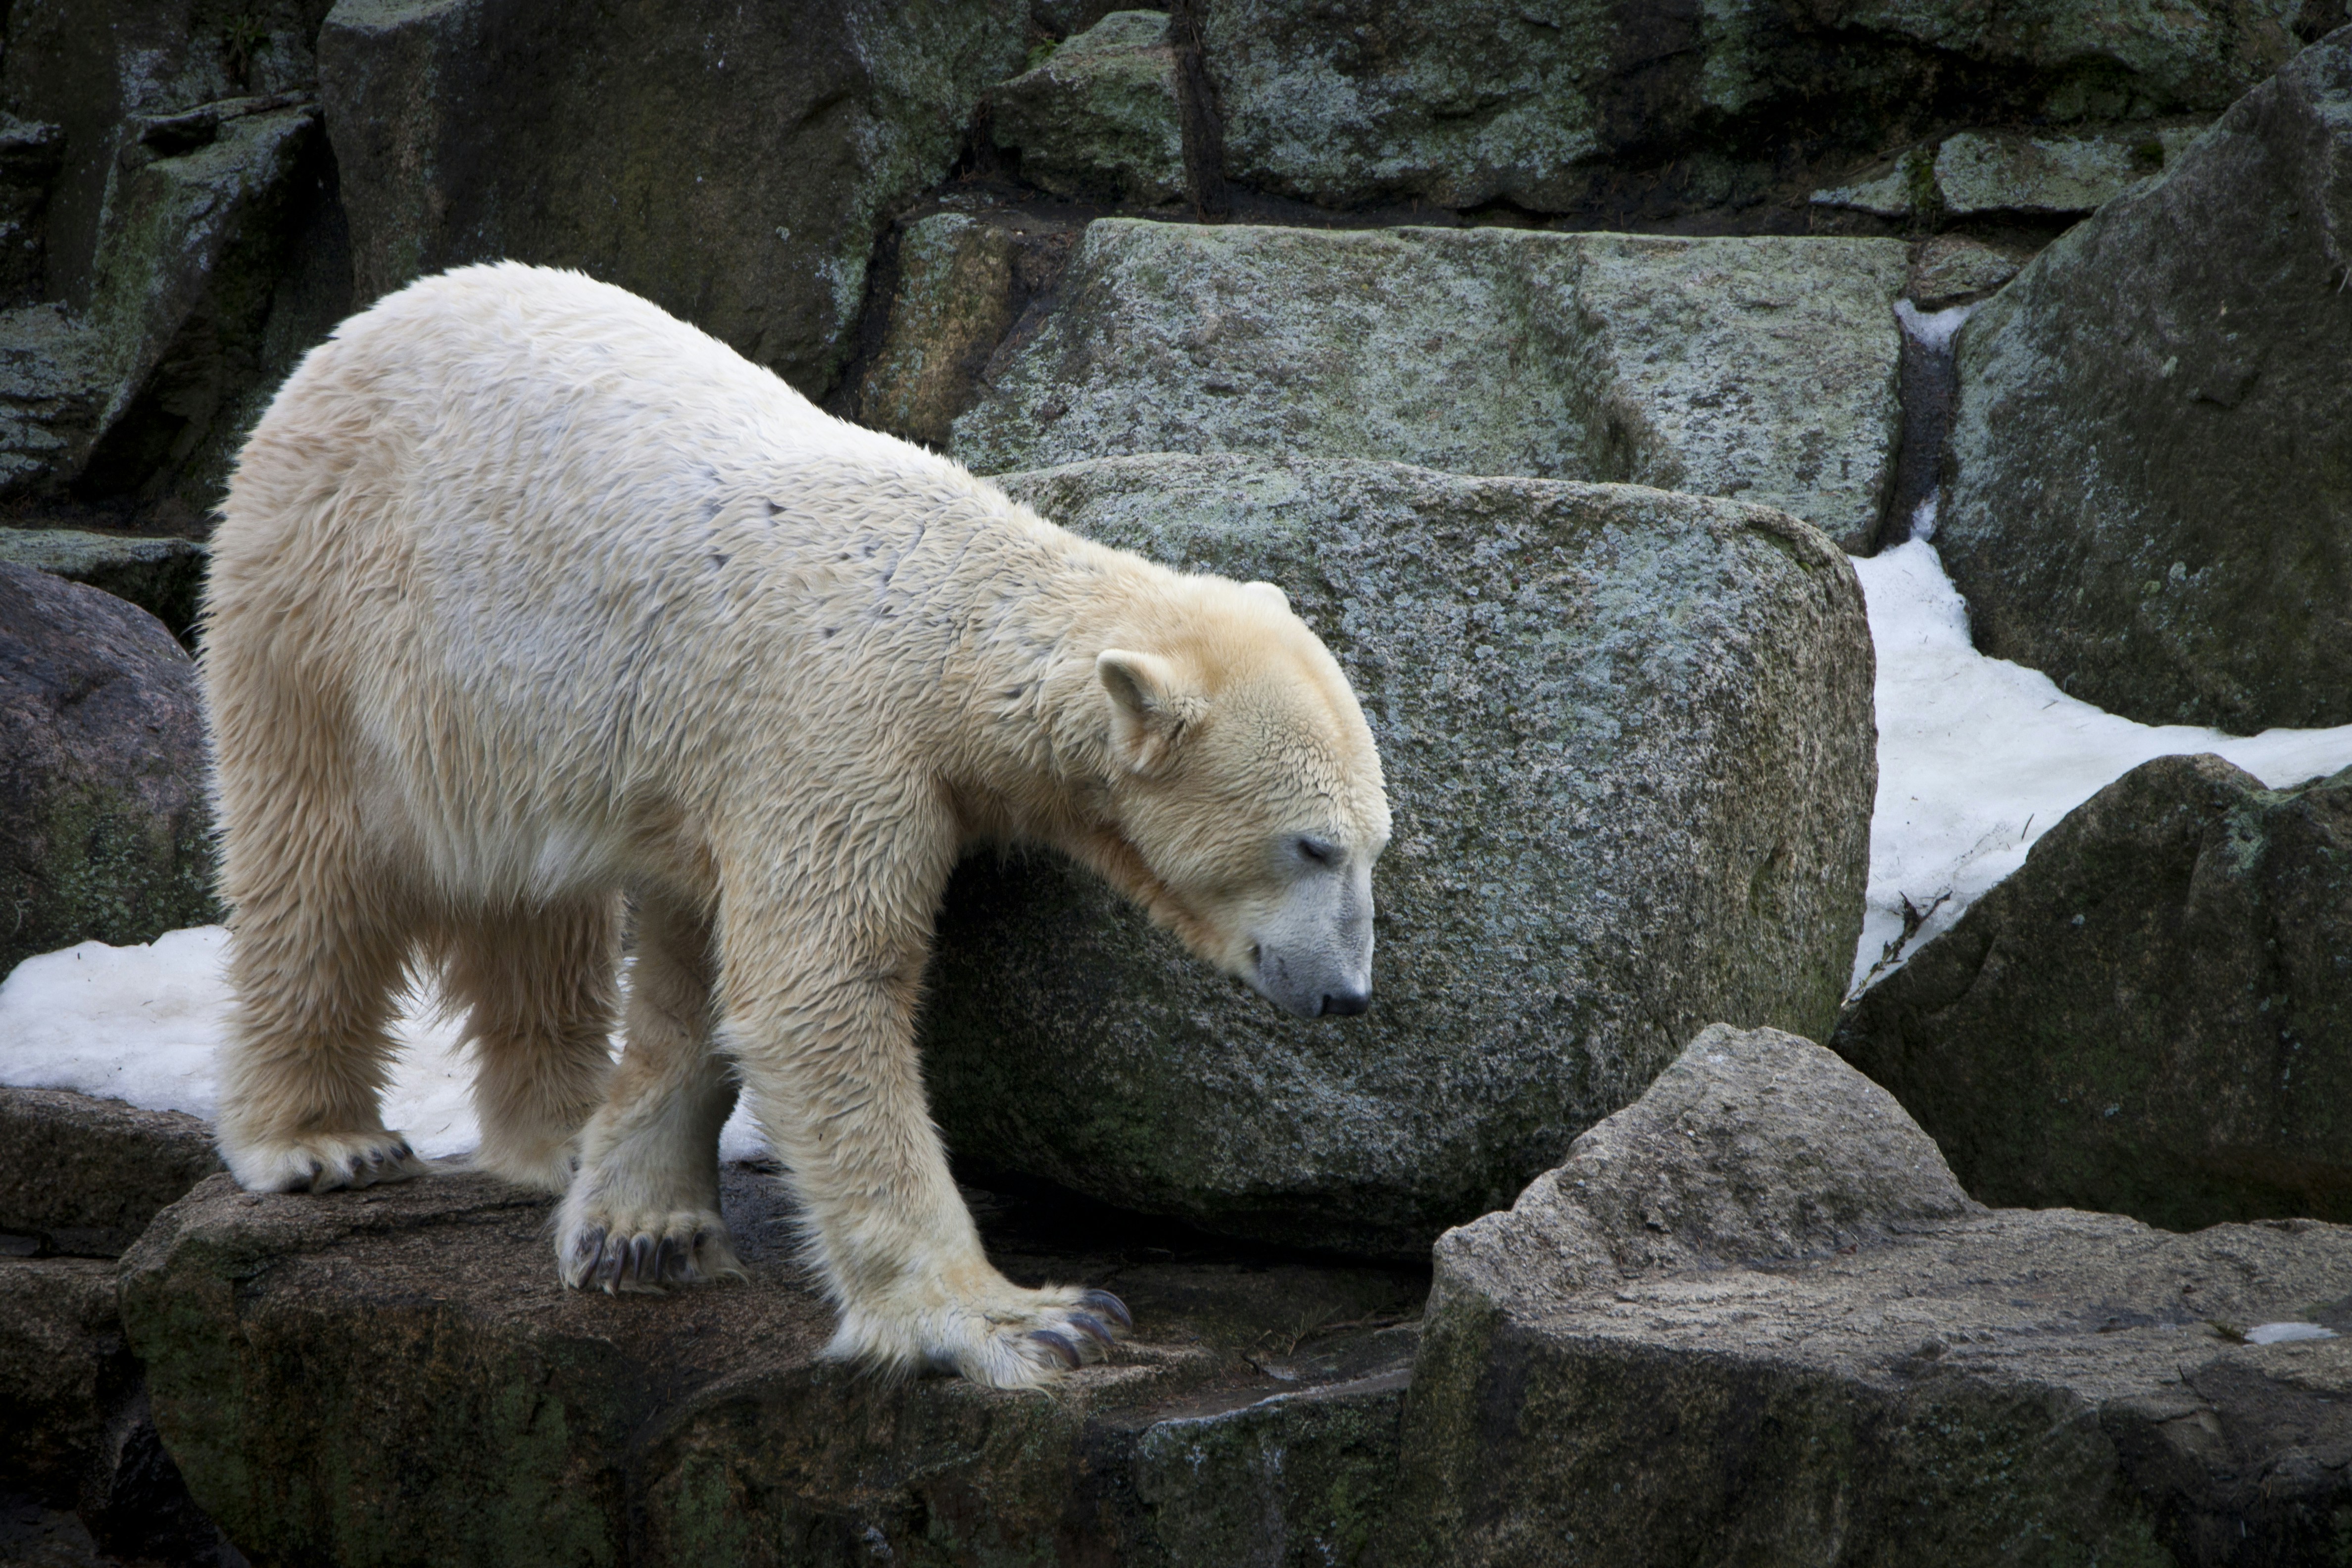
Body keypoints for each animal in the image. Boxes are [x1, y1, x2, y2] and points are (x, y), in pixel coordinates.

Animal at [201, 261, 1390, 1387]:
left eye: (1377, 844)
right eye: (1313, 845)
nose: (1346, 994)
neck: (945, 620)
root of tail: (352, 334)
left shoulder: (712, 761)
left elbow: (700, 970)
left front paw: (641, 1227)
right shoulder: (832, 730)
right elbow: (820, 986)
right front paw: (1024, 1319)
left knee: (537, 908)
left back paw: (552, 1131)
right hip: (328, 613)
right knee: (317, 868)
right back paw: (319, 1141)